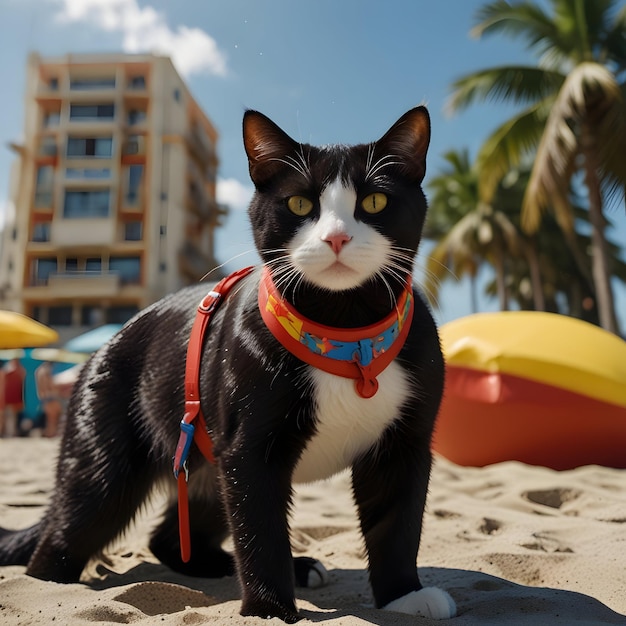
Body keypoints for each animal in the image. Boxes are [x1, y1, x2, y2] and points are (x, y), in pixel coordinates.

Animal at [0, 107, 454, 620]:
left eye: (375, 201)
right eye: (299, 204)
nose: (336, 237)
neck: (346, 333)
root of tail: (104, 344)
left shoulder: (404, 445)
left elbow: (397, 524)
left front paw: (404, 594)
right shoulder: (249, 450)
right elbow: (260, 531)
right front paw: (270, 609)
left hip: (206, 465)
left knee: (174, 537)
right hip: (106, 460)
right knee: (66, 535)